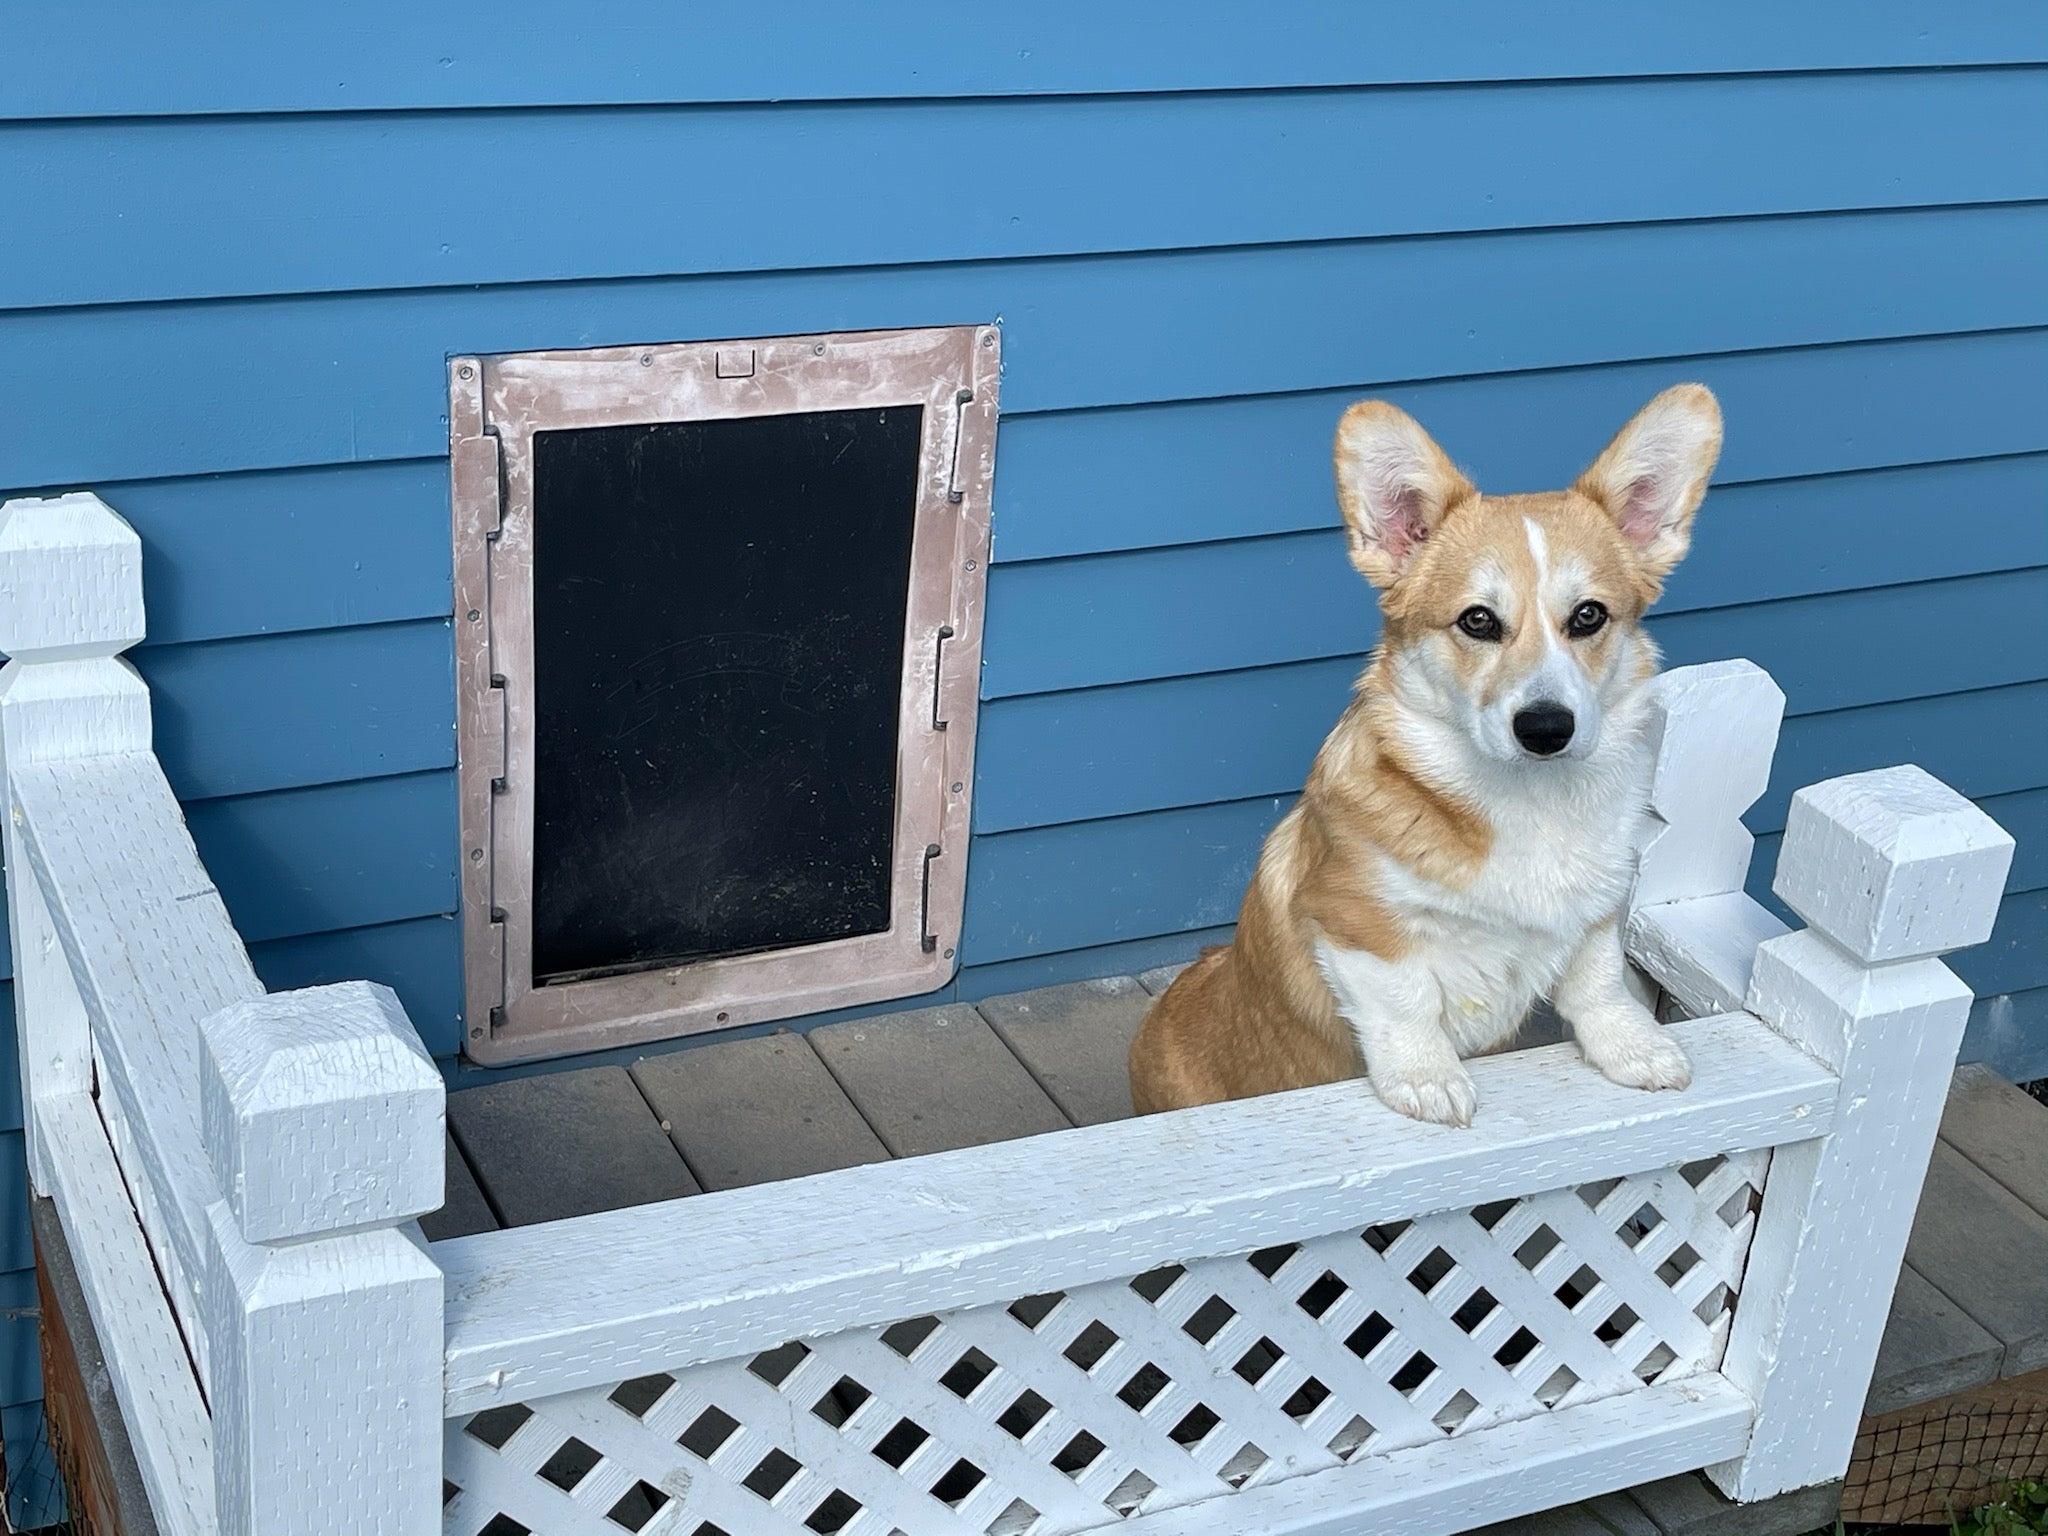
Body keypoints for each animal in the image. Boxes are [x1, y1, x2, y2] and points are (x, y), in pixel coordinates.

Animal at [1130, 385, 1720, 1130]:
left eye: (1588, 616)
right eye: (1478, 620)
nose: (1546, 728)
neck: (1529, 800)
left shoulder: (1596, 908)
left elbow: (1598, 980)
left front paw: (1634, 1047)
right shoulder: (1355, 921)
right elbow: (1405, 1002)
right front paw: (1426, 1078)